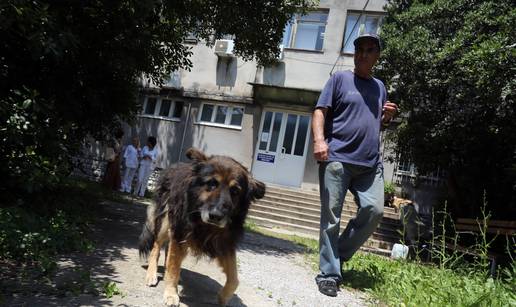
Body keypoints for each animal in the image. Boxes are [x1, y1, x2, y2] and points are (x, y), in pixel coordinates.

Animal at [138, 148, 266, 306]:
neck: (205, 224)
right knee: (157, 246)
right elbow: (173, 267)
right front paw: (171, 293)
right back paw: (152, 274)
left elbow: (234, 279)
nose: (216, 215)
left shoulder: (225, 242)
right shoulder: (180, 231)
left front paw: (223, 297)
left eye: (235, 191)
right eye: (212, 184)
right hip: (167, 219)